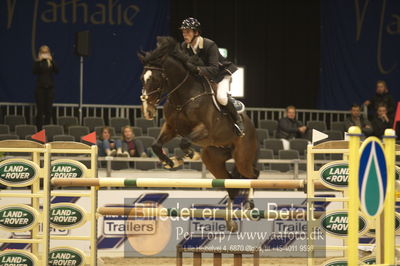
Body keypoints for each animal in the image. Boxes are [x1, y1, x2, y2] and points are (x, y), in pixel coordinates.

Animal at [139, 36, 260, 232]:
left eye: (156, 79)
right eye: (142, 78)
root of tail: (251, 127)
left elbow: (184, 143)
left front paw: (188, 156)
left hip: (242, 156)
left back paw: (250, 205)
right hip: (213, 159)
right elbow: (156, 145)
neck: (183, 96)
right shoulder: (171, 127)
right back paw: (230, 222)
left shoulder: (204, 130)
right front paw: (171, 163)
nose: (147, 111)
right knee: (231, 185)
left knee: (253, 175)